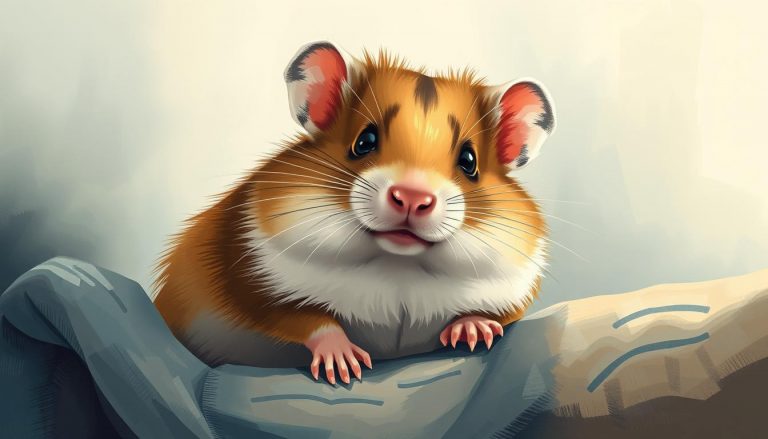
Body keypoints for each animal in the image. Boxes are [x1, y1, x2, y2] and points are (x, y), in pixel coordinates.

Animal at [153, 41, 555, 385]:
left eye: (469, 161)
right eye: (365, 141)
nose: (412, 198)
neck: (399, 268)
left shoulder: (517, 289)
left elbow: (497, 314)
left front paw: (473, 332)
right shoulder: (250, 280)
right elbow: (306, 318)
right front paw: (347, 367)